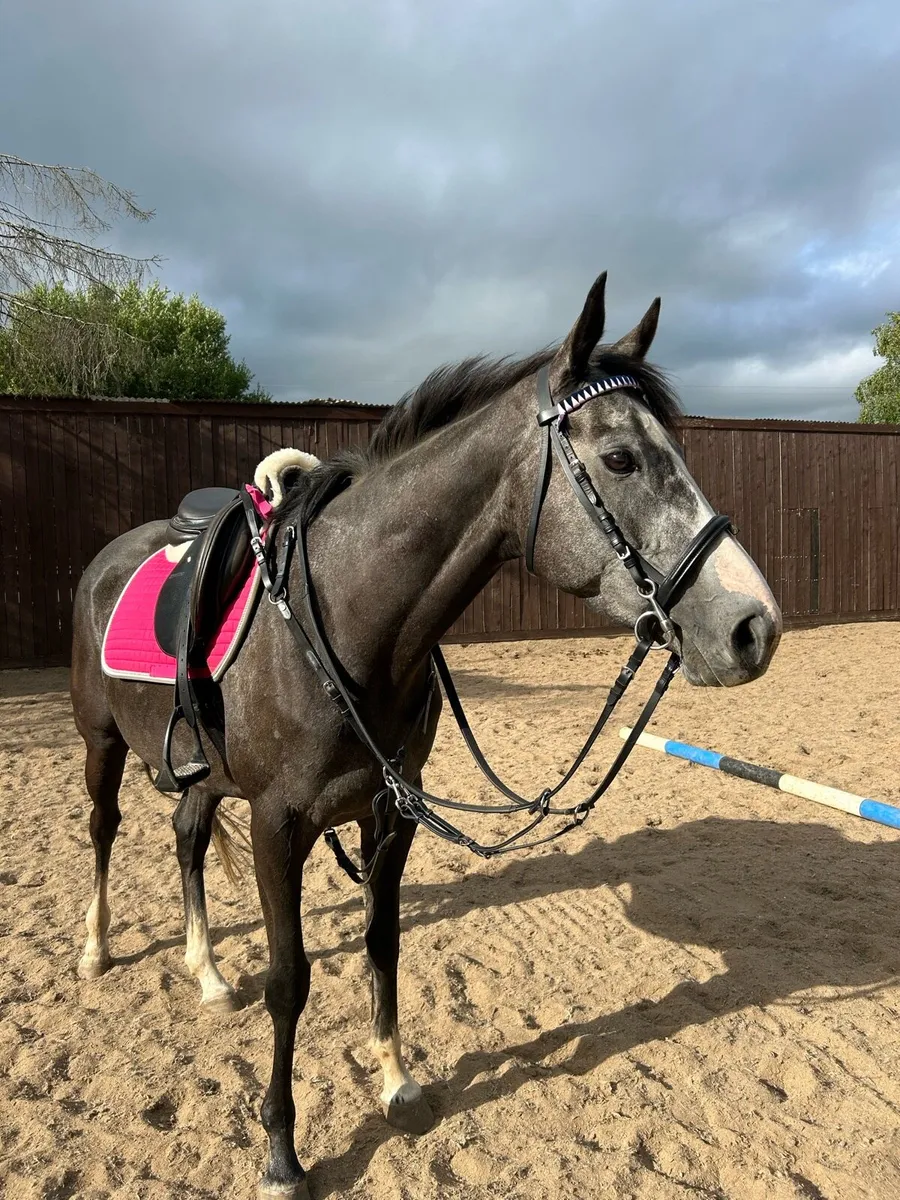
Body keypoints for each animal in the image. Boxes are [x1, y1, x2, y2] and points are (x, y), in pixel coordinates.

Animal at [70, 271, 782, 1197]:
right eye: (621, 458)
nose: (753, 627)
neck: (346, 620)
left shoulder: (390, 815)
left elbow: (382, 941)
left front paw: (396, 1082)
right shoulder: (277, 825)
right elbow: (291, 980)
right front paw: (281, 1149)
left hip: (202, 773)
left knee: (185, 835)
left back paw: (207, 972)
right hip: (101, 743)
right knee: (104, 828)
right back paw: (95, 949)